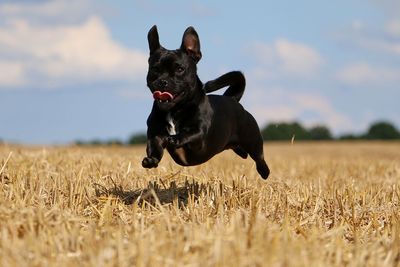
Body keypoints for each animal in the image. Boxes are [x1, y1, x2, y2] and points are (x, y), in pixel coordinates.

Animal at [141, 25, 268, 180]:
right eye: (155, 69)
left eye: (180, 69)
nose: (163, 81)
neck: (174, 109)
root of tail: (232, 99)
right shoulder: (155, 133)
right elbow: (155, 147)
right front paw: (151, 160)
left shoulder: (200, 135)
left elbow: (188, 133)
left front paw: (175, 138)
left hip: (252, 140)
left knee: (259, 157)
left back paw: (264, 171)